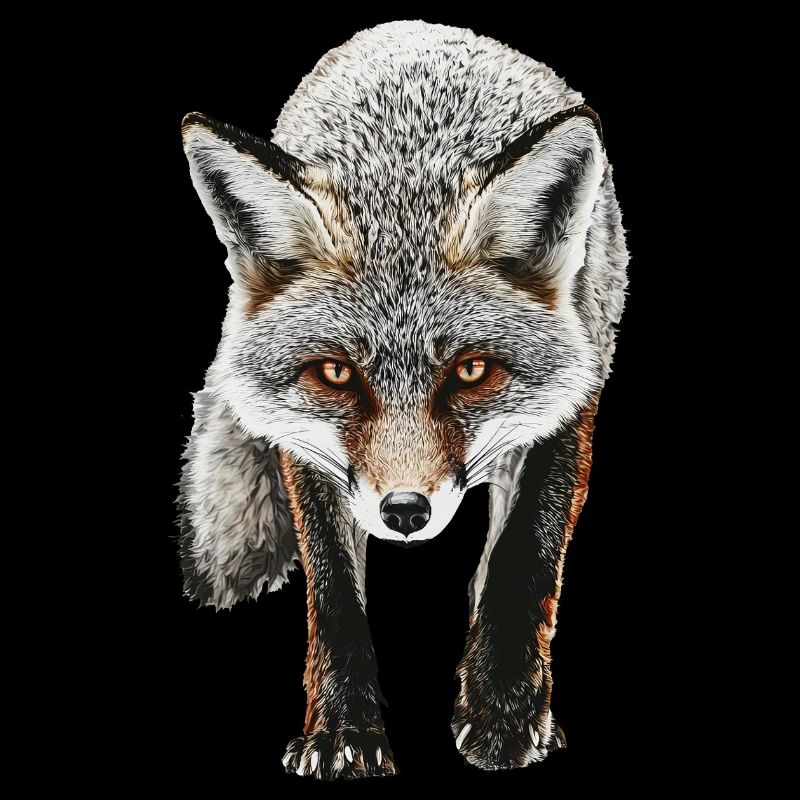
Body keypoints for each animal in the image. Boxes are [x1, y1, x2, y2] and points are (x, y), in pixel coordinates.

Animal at [177, 20, 628, 779]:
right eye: (335, 374)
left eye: (471, 371)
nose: (406, 512)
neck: (405, 170)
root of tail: (416, 28)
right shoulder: (306, 445)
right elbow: (334, 593)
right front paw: (341, 731)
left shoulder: (570, 397)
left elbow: (523, 560)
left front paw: (505, 713)